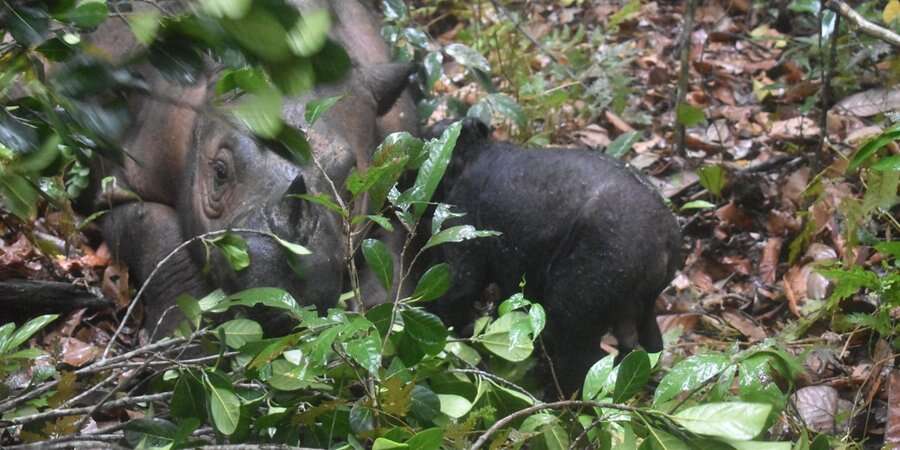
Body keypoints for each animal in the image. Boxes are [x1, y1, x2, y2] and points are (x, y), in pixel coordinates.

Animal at [88, 0, 414, 338]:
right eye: (219, 173)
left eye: (350, 191)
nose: (279, 290)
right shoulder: (124, 177)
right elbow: (160, 239)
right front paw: (184, 338)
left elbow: (392, 249)